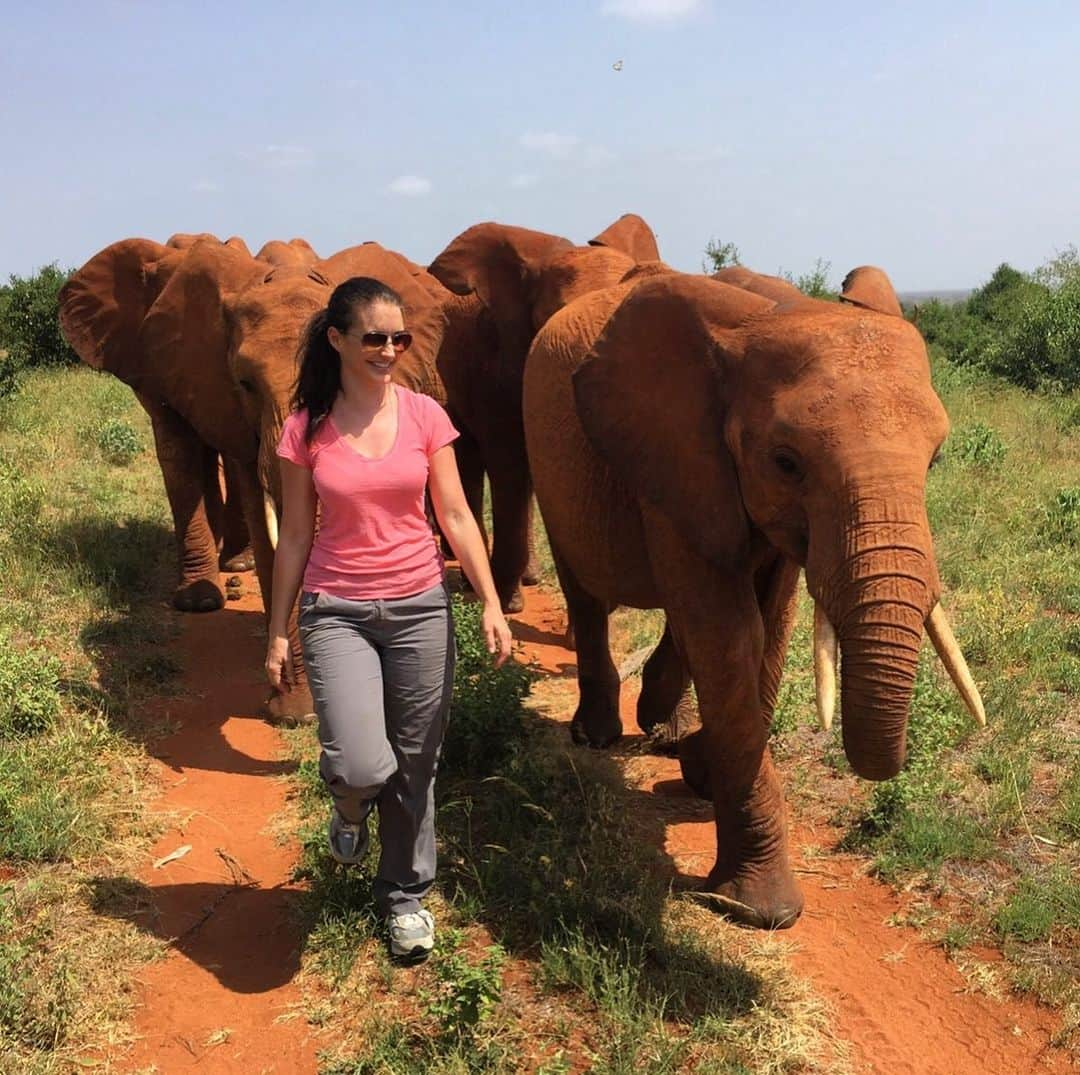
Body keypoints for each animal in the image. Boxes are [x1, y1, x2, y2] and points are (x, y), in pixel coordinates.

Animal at [522, 264, 989, 929]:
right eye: (786, 462)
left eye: (936, 459)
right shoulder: (678, 454)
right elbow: (729, 633)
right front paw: (758, 909)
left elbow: (770, 624)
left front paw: (702, 775)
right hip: (549, 454)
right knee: (586, 590)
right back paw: (600, 736)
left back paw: (668, 734)